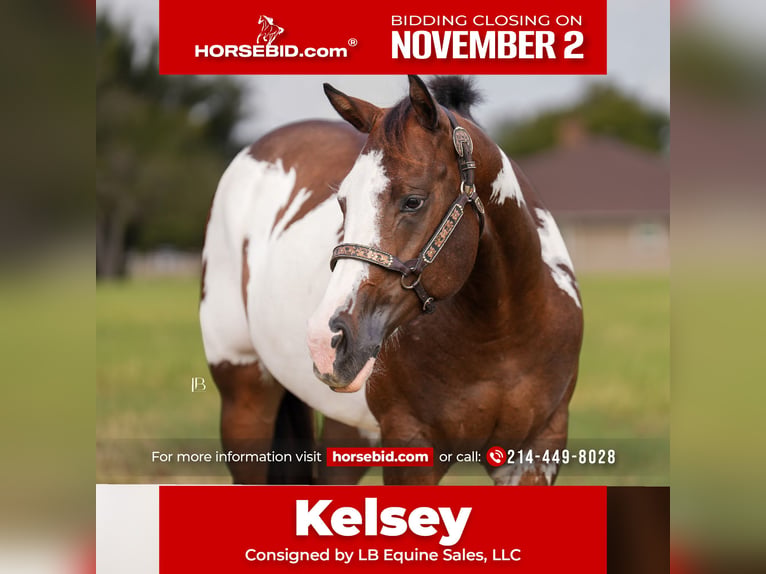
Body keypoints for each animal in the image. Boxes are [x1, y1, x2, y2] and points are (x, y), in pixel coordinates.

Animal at [200, 76, 583, 486]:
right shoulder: (409, 444)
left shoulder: (536, 451)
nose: (325, 339)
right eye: (343, 203)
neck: (501, 336)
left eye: (413, 201)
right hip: (244, 401)